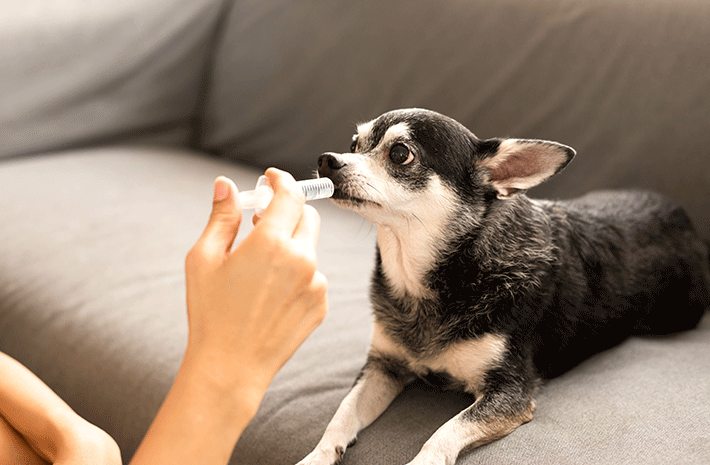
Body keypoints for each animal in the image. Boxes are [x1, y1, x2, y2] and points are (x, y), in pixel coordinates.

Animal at [296, 109, 710, 464]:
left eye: (400, 154)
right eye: (354, 144)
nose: (327, 159)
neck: (430, 281)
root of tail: (686, 219)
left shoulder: (509, 393)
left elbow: (444, 432)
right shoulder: (384, 366)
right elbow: (342, 414)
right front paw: (316, 456)